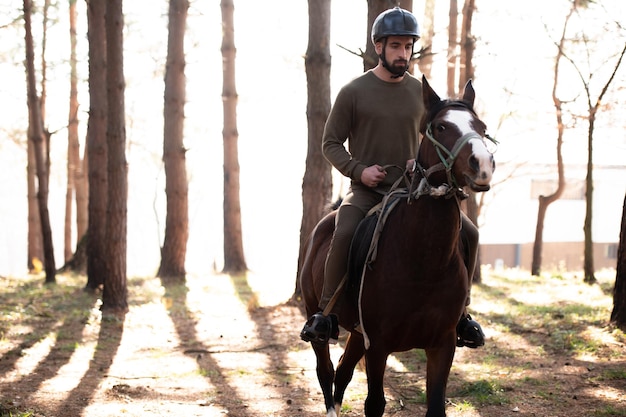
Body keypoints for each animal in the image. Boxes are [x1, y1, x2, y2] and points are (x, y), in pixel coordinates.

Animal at [298, 75, 492, 416]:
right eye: (441, 126)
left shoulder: (442, 345)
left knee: (343, 373)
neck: (423, 262)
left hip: (357, 333)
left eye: (480, 126)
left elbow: (436, 406)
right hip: (318, 319)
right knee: (326, 372)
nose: (482, 164)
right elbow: (374, 403)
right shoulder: (379, 345)